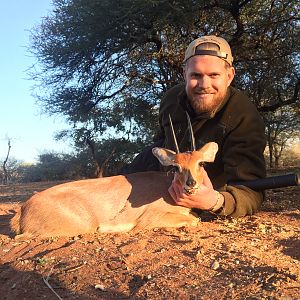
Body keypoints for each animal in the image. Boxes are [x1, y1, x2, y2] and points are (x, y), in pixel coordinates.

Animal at [10, 115, 218, 239]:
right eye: (176, 167)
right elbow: (194, 219)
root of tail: (24, 208)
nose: (190, 184)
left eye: (201, 163)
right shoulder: (150, 219)